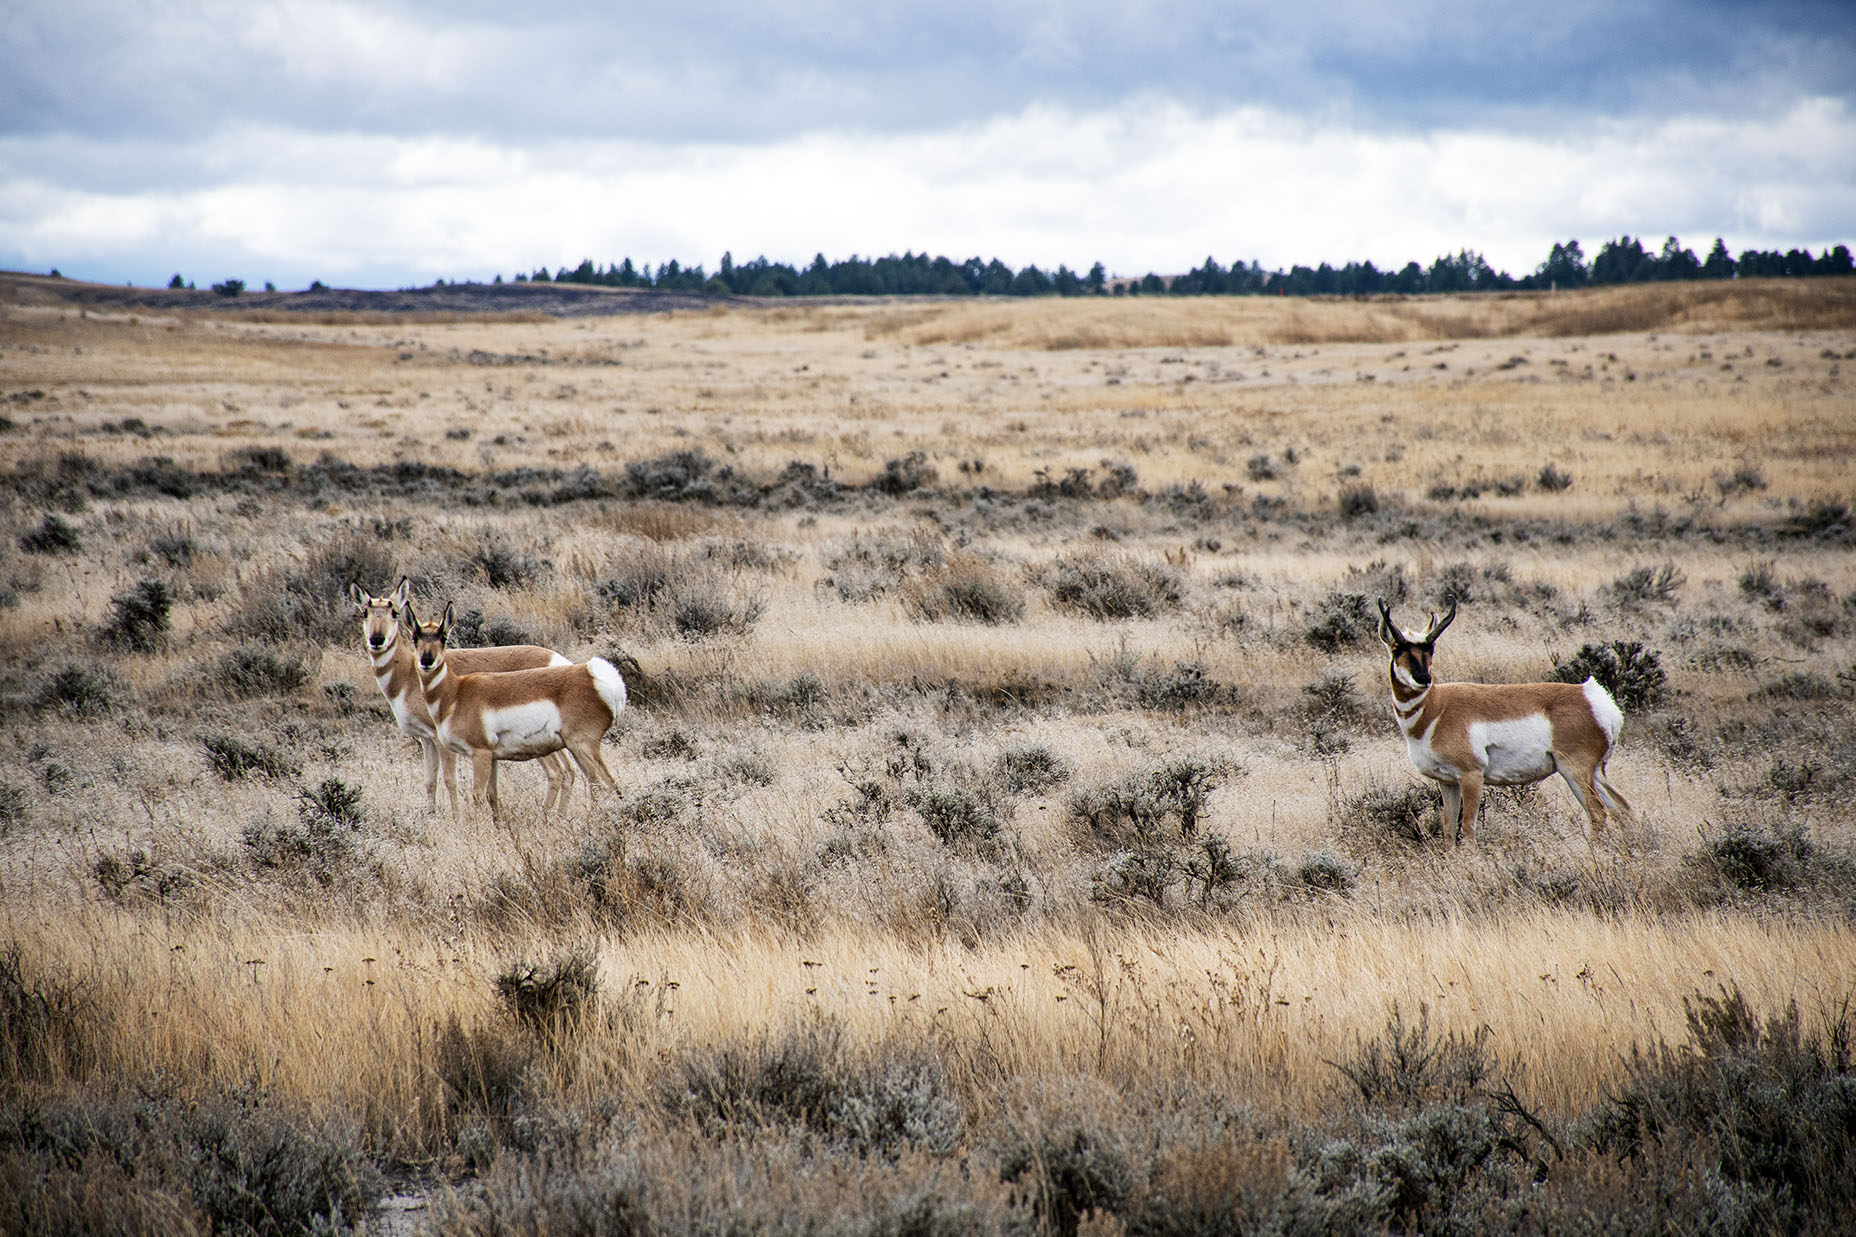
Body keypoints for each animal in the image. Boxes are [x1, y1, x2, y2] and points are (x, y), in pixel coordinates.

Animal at [348, 579, 571, 813]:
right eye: (365, 612)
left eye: (394, 612)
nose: (377, 639)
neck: (408, 672)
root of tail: (559, 661)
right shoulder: (425, 738)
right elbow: (430, 781)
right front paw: (431, 815)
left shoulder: (439, 739)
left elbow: (449, 780)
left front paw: (456, 816)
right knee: (569, 770)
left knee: (559, 771)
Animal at [402, 598, 627, 817]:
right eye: (415, 637)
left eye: (443, 637)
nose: (426, 661)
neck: (456, 692)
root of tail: (593, 673)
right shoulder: (492, 757)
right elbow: (492, 795)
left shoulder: (479, 753)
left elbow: (476, 797)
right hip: (576, 748)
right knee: (603, 784)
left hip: (582, 745)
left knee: (604, 784)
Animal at [1373, 594, 1633, 843]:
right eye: (1396, 650)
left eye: (1431, 650)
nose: (1424, 679)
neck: (1437, 708)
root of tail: (1592, 696)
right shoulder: (1447, 782)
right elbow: (1448, 828)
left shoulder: (1471, 776)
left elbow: (1468, 827)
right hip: (1596, 772)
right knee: (1622, 809)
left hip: (1574, 770)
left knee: (1598, 813)